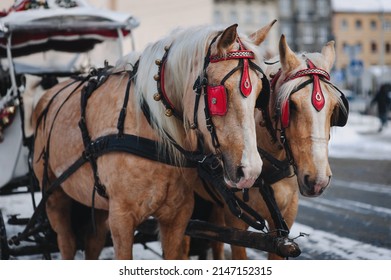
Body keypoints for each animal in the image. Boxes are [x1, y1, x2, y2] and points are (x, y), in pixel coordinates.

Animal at [32, 23, 276, 260]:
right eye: (218, 95)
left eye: (260, 94)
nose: (250, 171)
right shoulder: (120, 218)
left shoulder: (177, 216)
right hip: (55, 197)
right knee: (67, 242)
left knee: (93, 242)